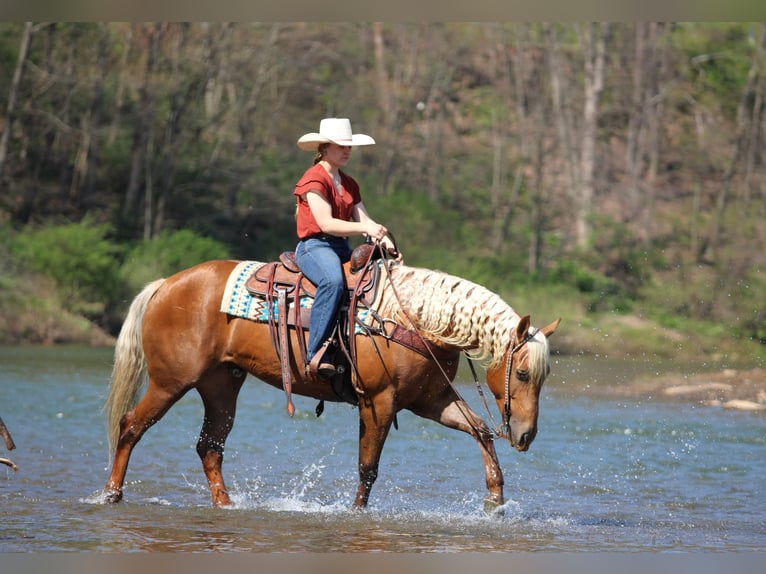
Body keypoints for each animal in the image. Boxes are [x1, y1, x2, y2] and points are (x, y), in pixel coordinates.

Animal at [102, 258, 560, 510]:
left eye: (545, 376)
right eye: (522, 373)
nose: (525, 435)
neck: (411, 318)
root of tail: (164, 285)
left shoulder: (430, 400)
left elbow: (479, 430)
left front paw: (495, 499)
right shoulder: (378, 402)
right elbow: (368, 468)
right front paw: (356, 513)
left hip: (221, 385)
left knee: (209, 446)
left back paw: (226, 505)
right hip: (170, 382)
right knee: (131, 426)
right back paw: (111, 495)